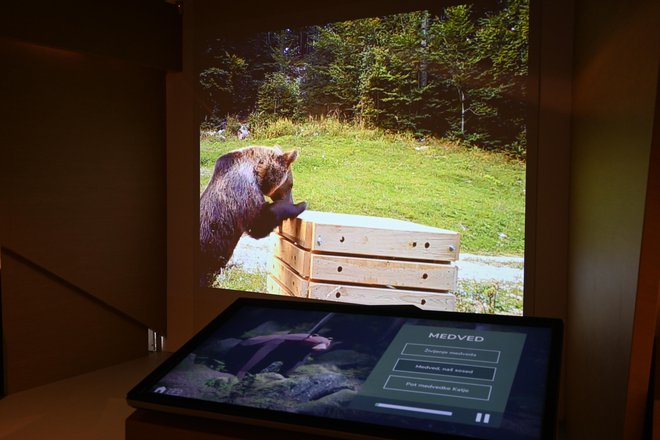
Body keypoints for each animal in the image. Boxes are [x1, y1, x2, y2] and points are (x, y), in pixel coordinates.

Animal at [200, 146, 306, 288]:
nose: (291, 199)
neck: (258, 173)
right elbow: (258, 224)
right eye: (291, 184)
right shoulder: (242, 192)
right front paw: (300, 205)